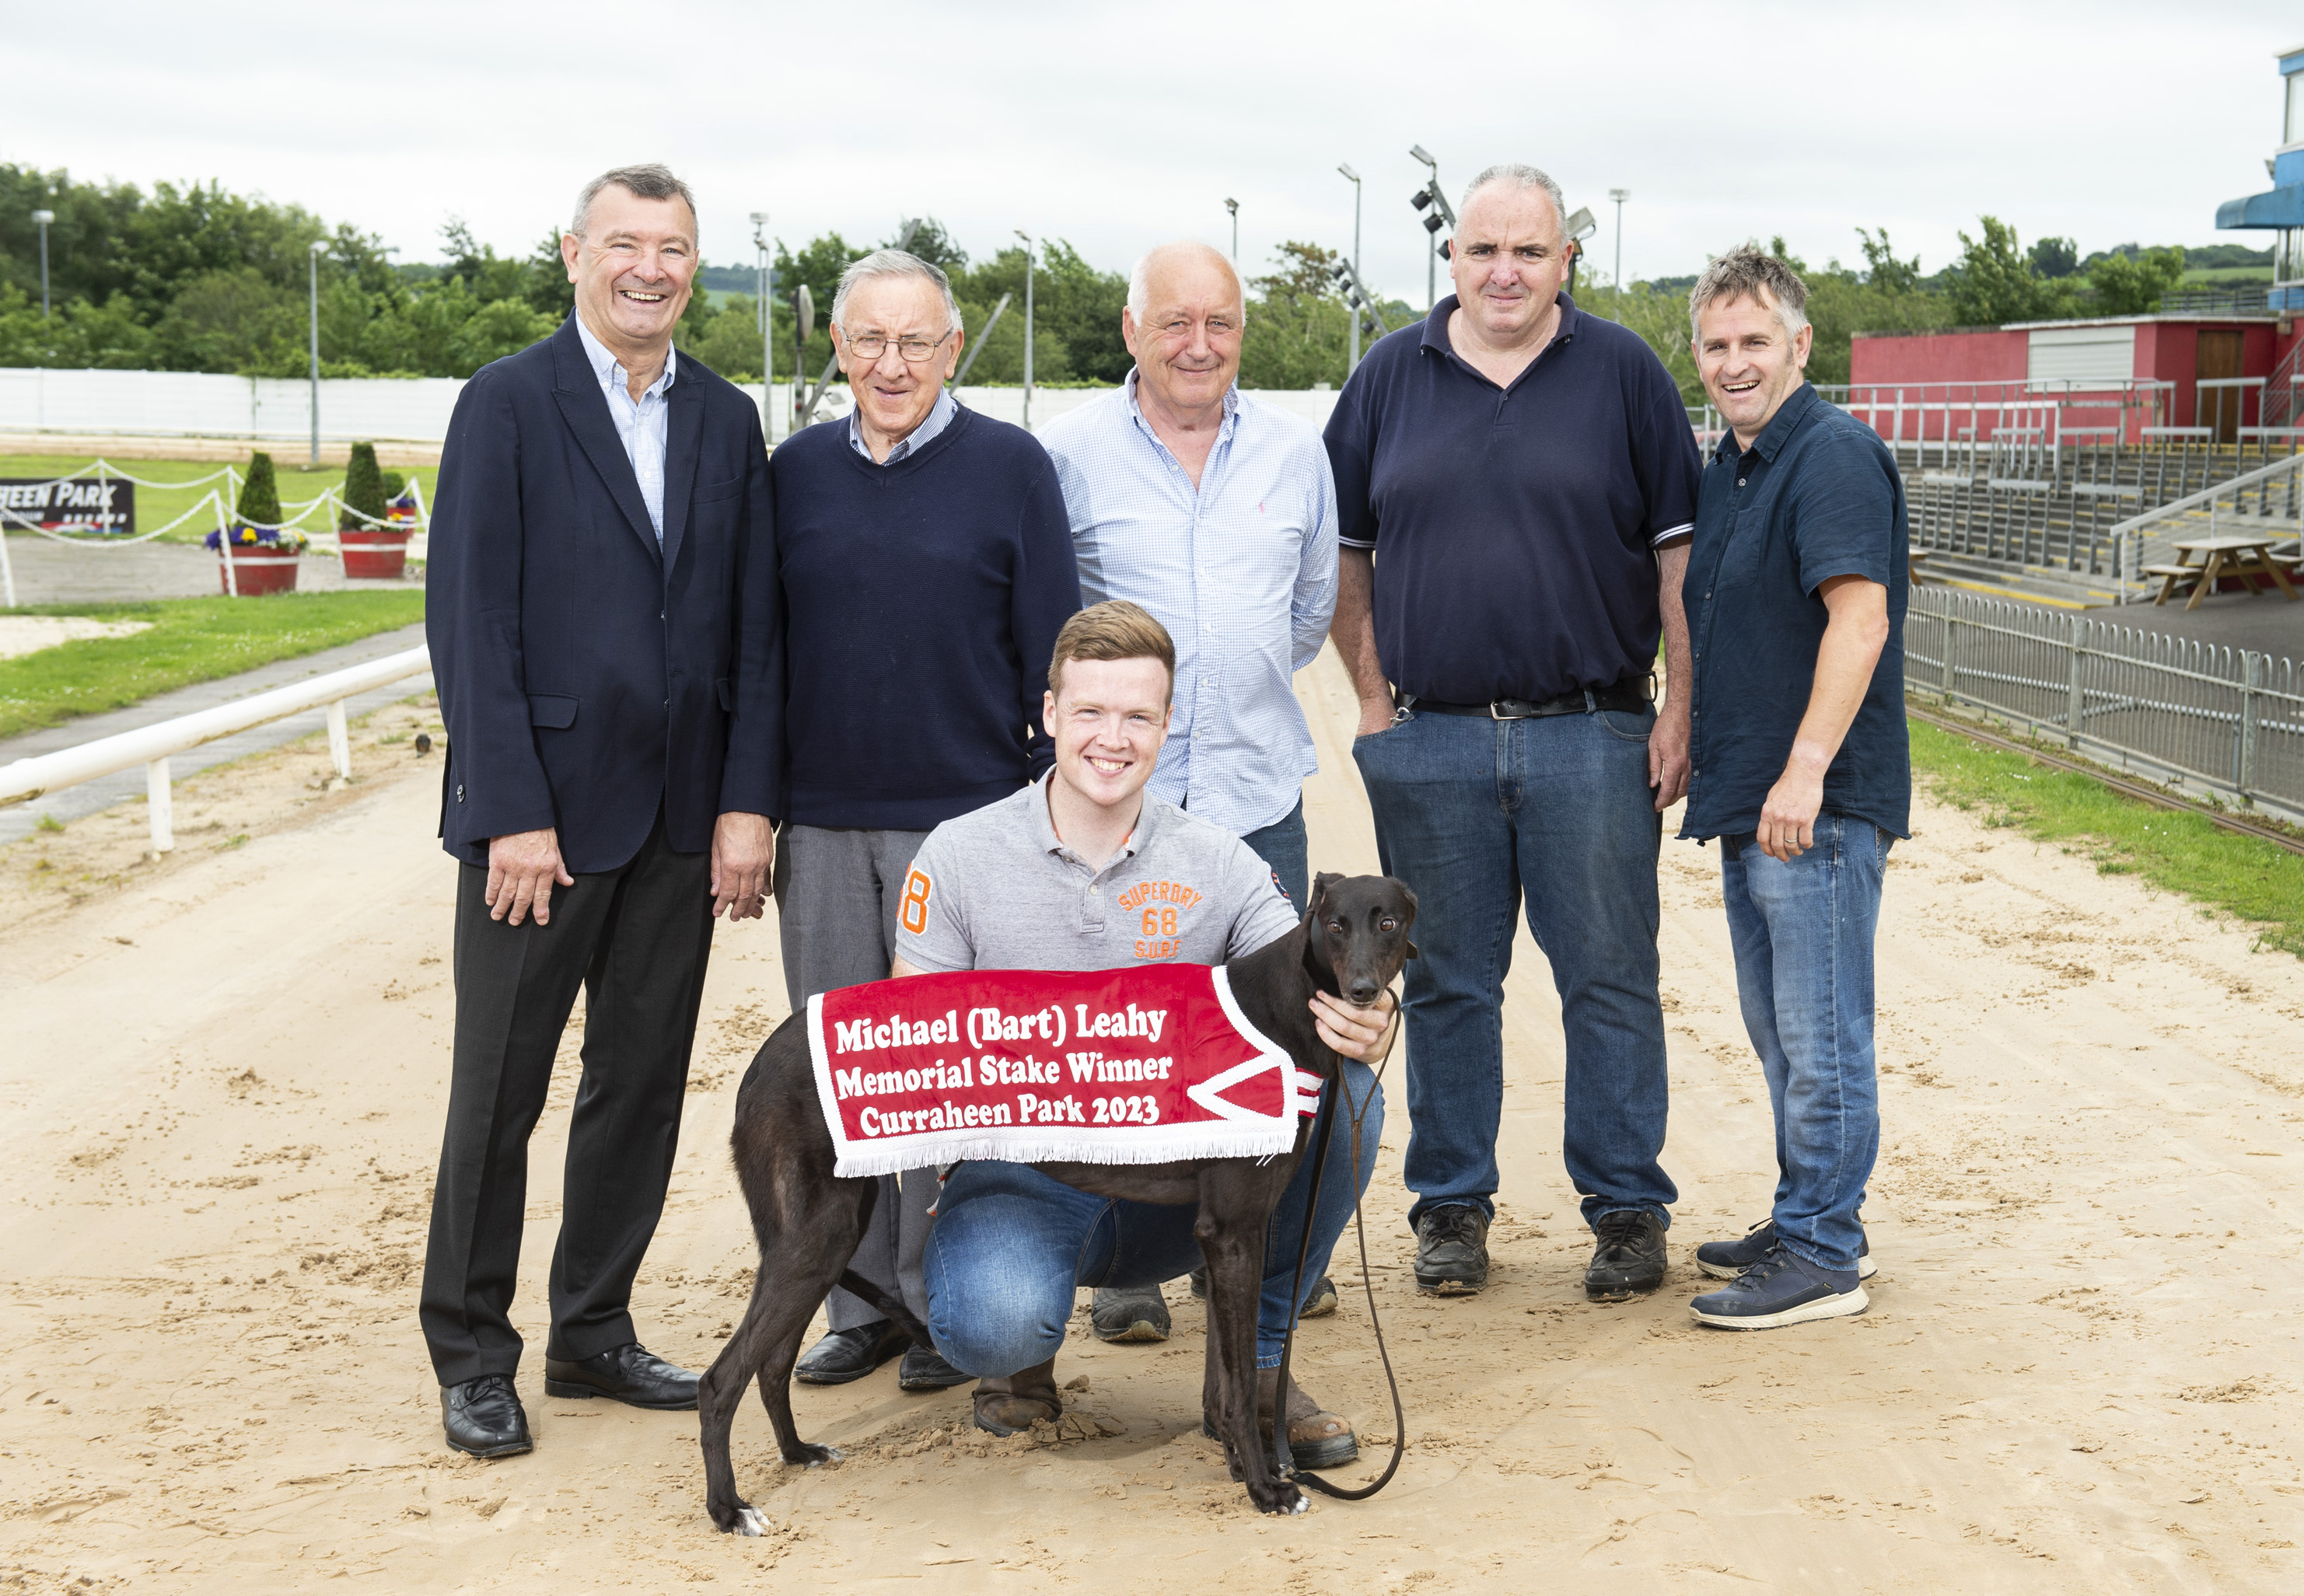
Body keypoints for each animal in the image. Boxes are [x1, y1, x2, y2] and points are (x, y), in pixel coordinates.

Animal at [700, 870, 1410, 1529]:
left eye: (1388, 921)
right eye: (1334, 924)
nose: (1361, 992)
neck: (1272, 1008)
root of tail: (760, 1061)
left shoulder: (1227, 1236)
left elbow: (1222, 1380)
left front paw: (1243, 1465)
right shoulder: (1233, 1229)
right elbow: (1233, 1387)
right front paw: (1265, 1487)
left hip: (827, 1233)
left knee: (770, 1363)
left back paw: (797, 1453)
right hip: (816, 1236)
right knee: (720, 1379)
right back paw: (728, 1508)